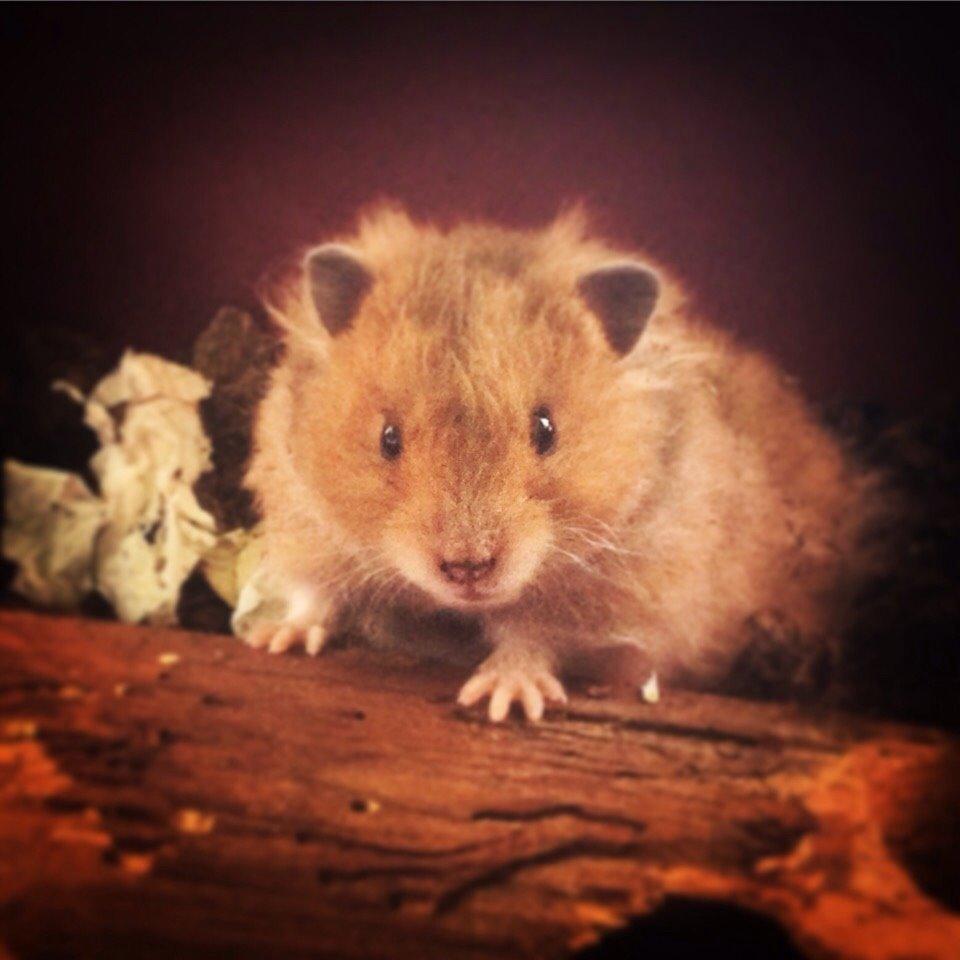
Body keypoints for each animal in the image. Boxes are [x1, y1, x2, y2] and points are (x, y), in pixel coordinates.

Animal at [239, 205, 879, 721]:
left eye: (545, 430)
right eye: (388, 438)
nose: (467, 569)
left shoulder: (611, 605)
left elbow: (534, 636)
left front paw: (504, 699)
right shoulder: (307, 522)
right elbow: (316, 594)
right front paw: (274, 639)